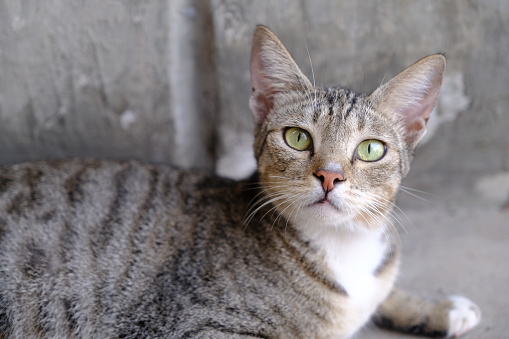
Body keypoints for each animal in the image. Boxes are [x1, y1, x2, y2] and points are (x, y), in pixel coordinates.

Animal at [0, 25, 478, 338]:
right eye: (298, 137)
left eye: (371, 149)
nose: (330, 175)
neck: (340, 244)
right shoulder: (197, 325)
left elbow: (383, 291)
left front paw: (438, 308)